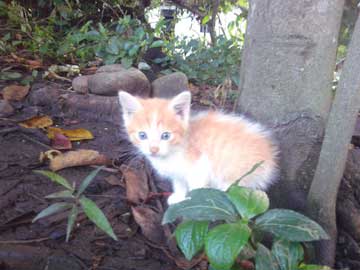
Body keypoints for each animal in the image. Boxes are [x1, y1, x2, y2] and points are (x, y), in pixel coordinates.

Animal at [118, 90, 278, 205]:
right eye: (142, 135)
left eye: (166, 136)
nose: (153, 149)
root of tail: (269, 158)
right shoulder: (178, 172)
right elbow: (179, 183)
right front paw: (179, 197)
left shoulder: (200, 167)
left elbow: (197, 188)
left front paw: (192, 204)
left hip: (236, 175)